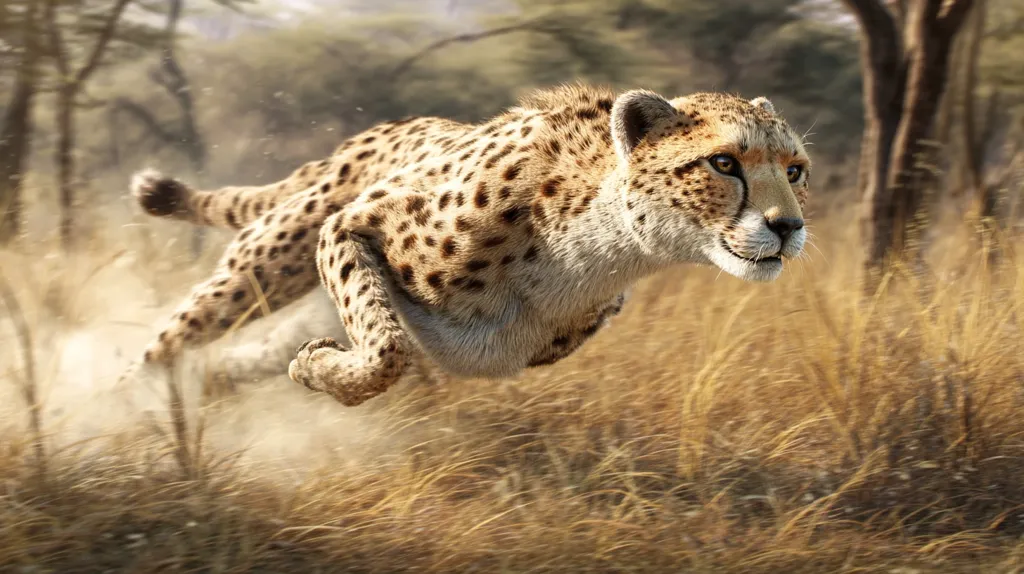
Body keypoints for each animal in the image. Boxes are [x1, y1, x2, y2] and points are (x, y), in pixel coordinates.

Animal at [126, 83, 811, 406]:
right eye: (723, 163)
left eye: (796, 169)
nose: (789, 227)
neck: (604, 247)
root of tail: (380, 128)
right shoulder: (351, 226)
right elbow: (388, 354)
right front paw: (321, 369)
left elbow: (387, 349)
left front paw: (312, 366)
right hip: (267, 263)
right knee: (167, 345)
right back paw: (131, 412)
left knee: (233, 358)